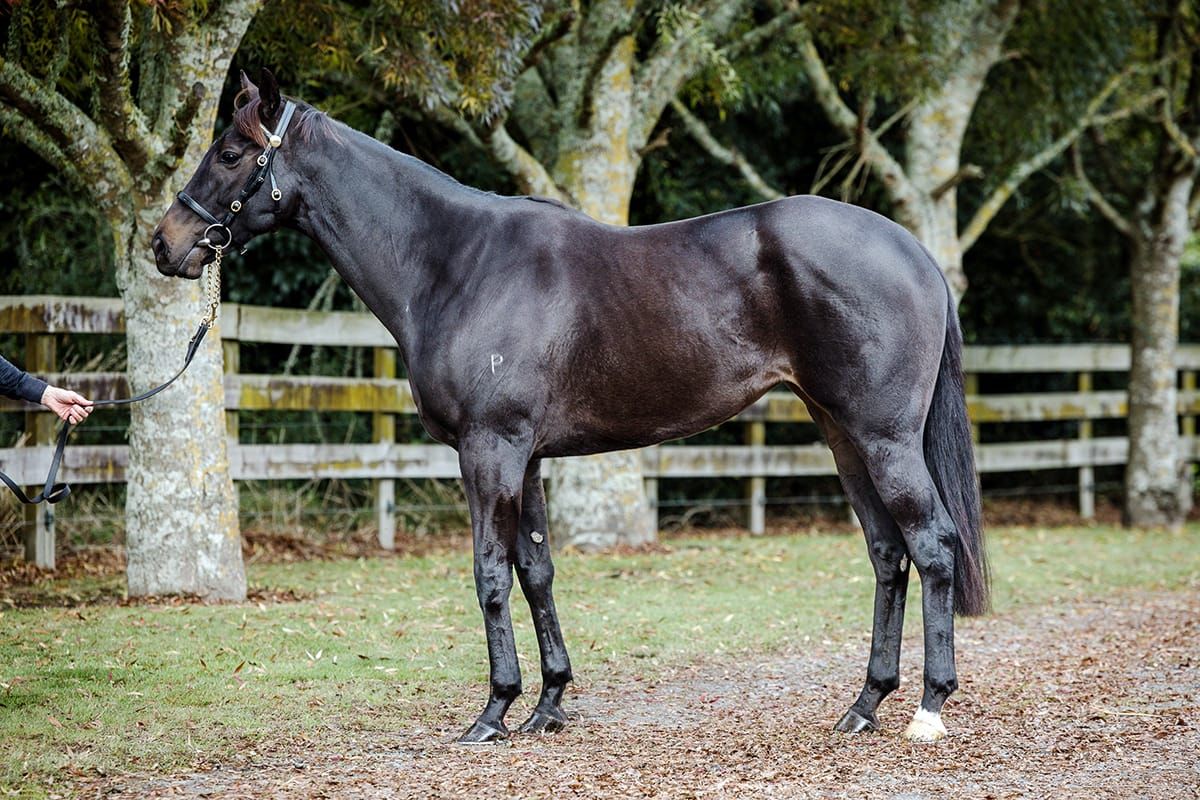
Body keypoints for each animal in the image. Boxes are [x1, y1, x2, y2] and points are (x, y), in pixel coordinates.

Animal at [152, 70, 988, 745]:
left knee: (933, 546)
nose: (165, 244)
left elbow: (491, 572)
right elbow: (537, 570)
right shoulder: (526, 459)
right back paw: (864, 706)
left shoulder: (489, 449)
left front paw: (494, 711)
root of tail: (915, 254)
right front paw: (548, 704)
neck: (456, 263)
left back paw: (928, 708)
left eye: (231, 154)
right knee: (887, 555)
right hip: (842, 435)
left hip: (883, 439)